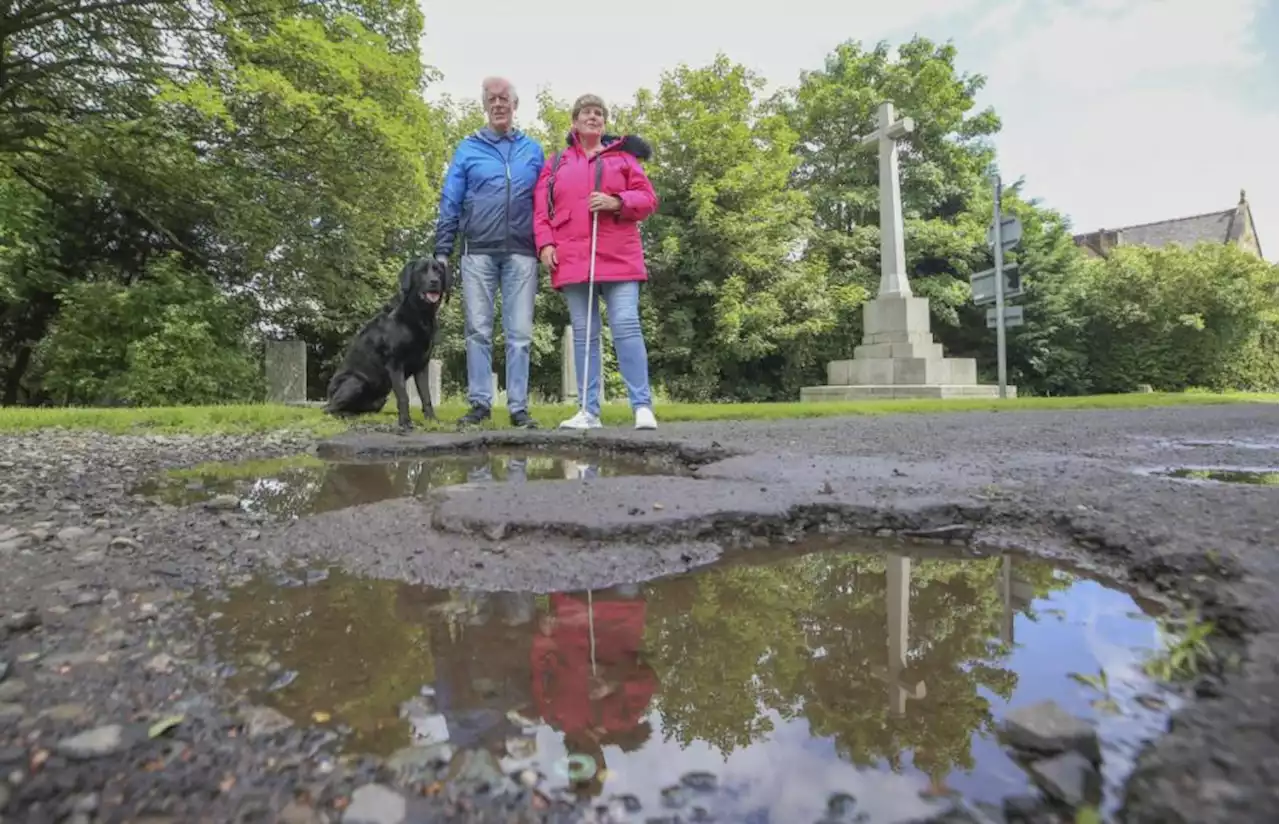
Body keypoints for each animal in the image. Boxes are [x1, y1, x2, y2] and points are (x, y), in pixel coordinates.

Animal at [322, 255, 453, 432]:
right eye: (421, 271)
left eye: (438, 271)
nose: (434, 281)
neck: (419, 315)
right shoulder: (395, 364)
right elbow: (403, 396)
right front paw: (405, 422)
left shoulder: (422, 366)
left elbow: (426, 396)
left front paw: (432, 419)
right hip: (355, 382)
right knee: (330, 409)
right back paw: (347, 415)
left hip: (379, 399)